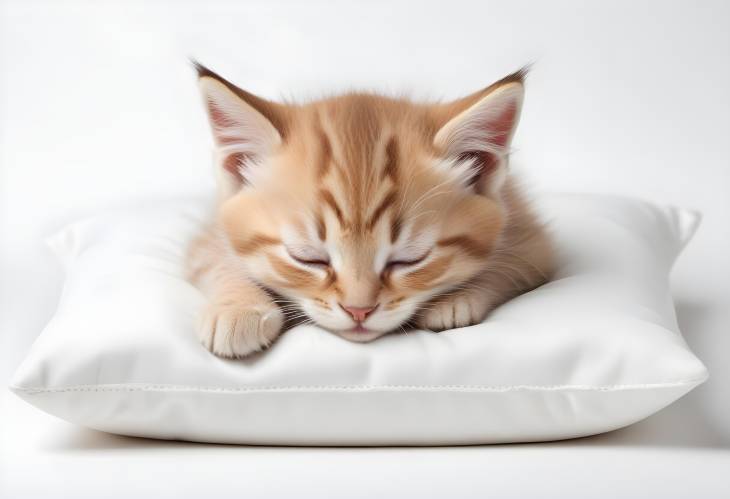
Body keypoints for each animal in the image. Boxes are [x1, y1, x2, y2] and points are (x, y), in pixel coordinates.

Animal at [186, 63, 552, 360]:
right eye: (308, 258)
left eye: (409, 259)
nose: (358, 311)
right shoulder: (207, 235)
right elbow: (219, 261)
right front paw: (238, 309)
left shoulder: (533, 241)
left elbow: (508, 266)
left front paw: (456, 300)